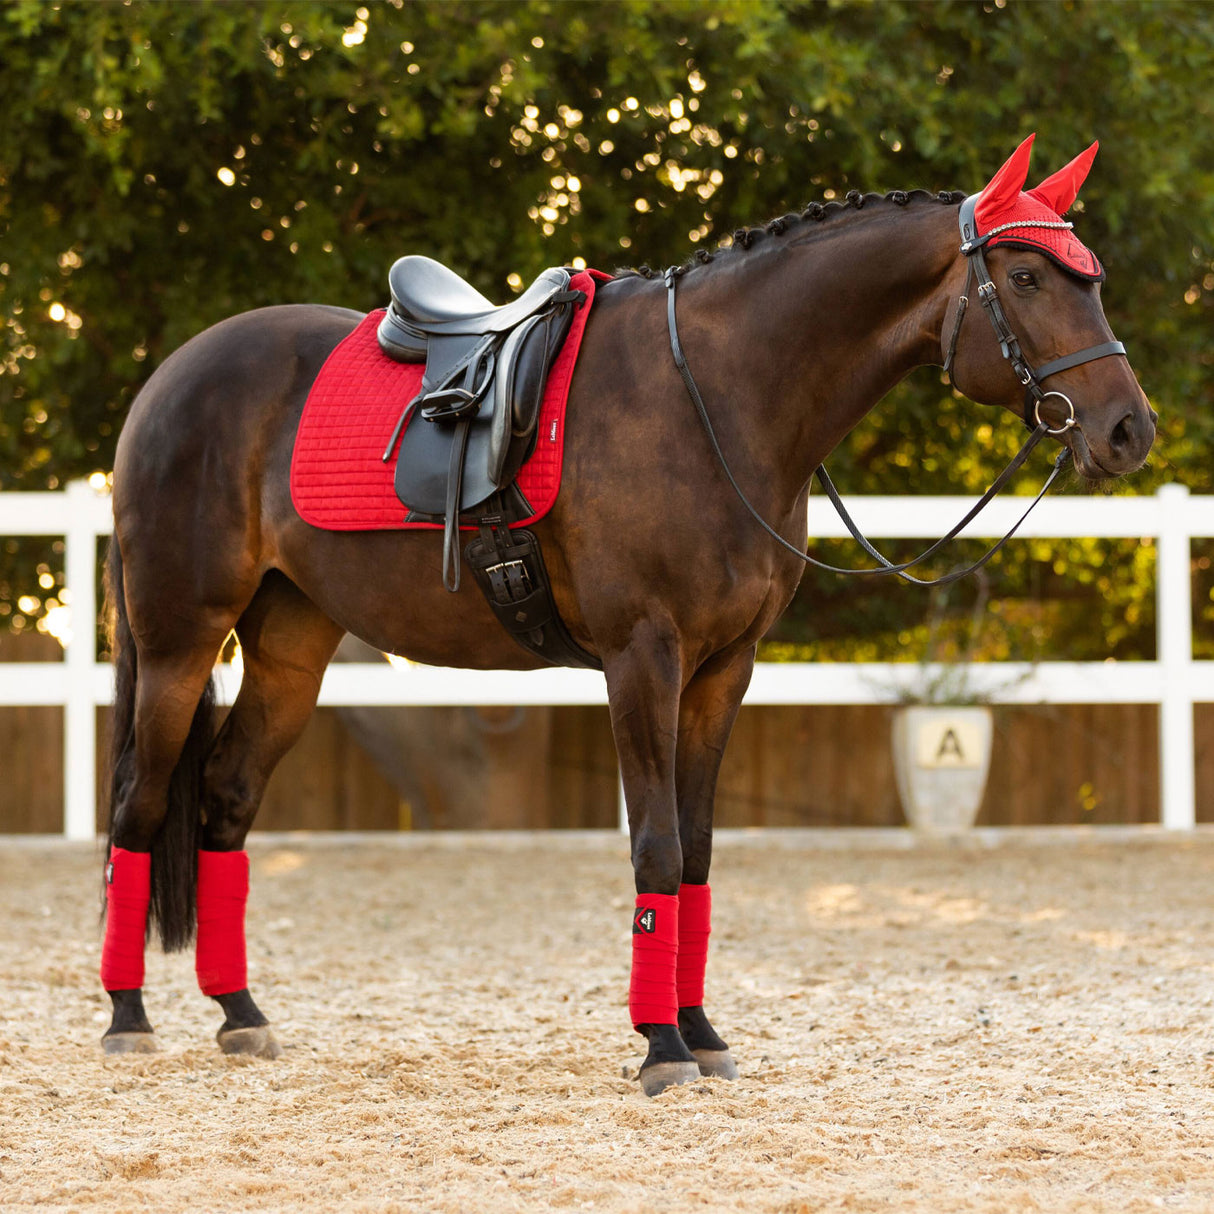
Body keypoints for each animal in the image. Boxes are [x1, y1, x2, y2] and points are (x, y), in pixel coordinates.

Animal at [97, 137, 1155, 1097]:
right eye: (1026, 275)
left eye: (1093, 281)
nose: (1127, 431)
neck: (718, 398)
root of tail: (173, 375)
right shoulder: (643, 656)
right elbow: (655, 844)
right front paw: (662, 1048)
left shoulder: (725, 667)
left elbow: (696, 851)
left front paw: (701, 1032)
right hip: (179, 640)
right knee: (140, 806)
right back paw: (127, 1019)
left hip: (292, 644)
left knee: (227, 796)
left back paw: (240, 1013)